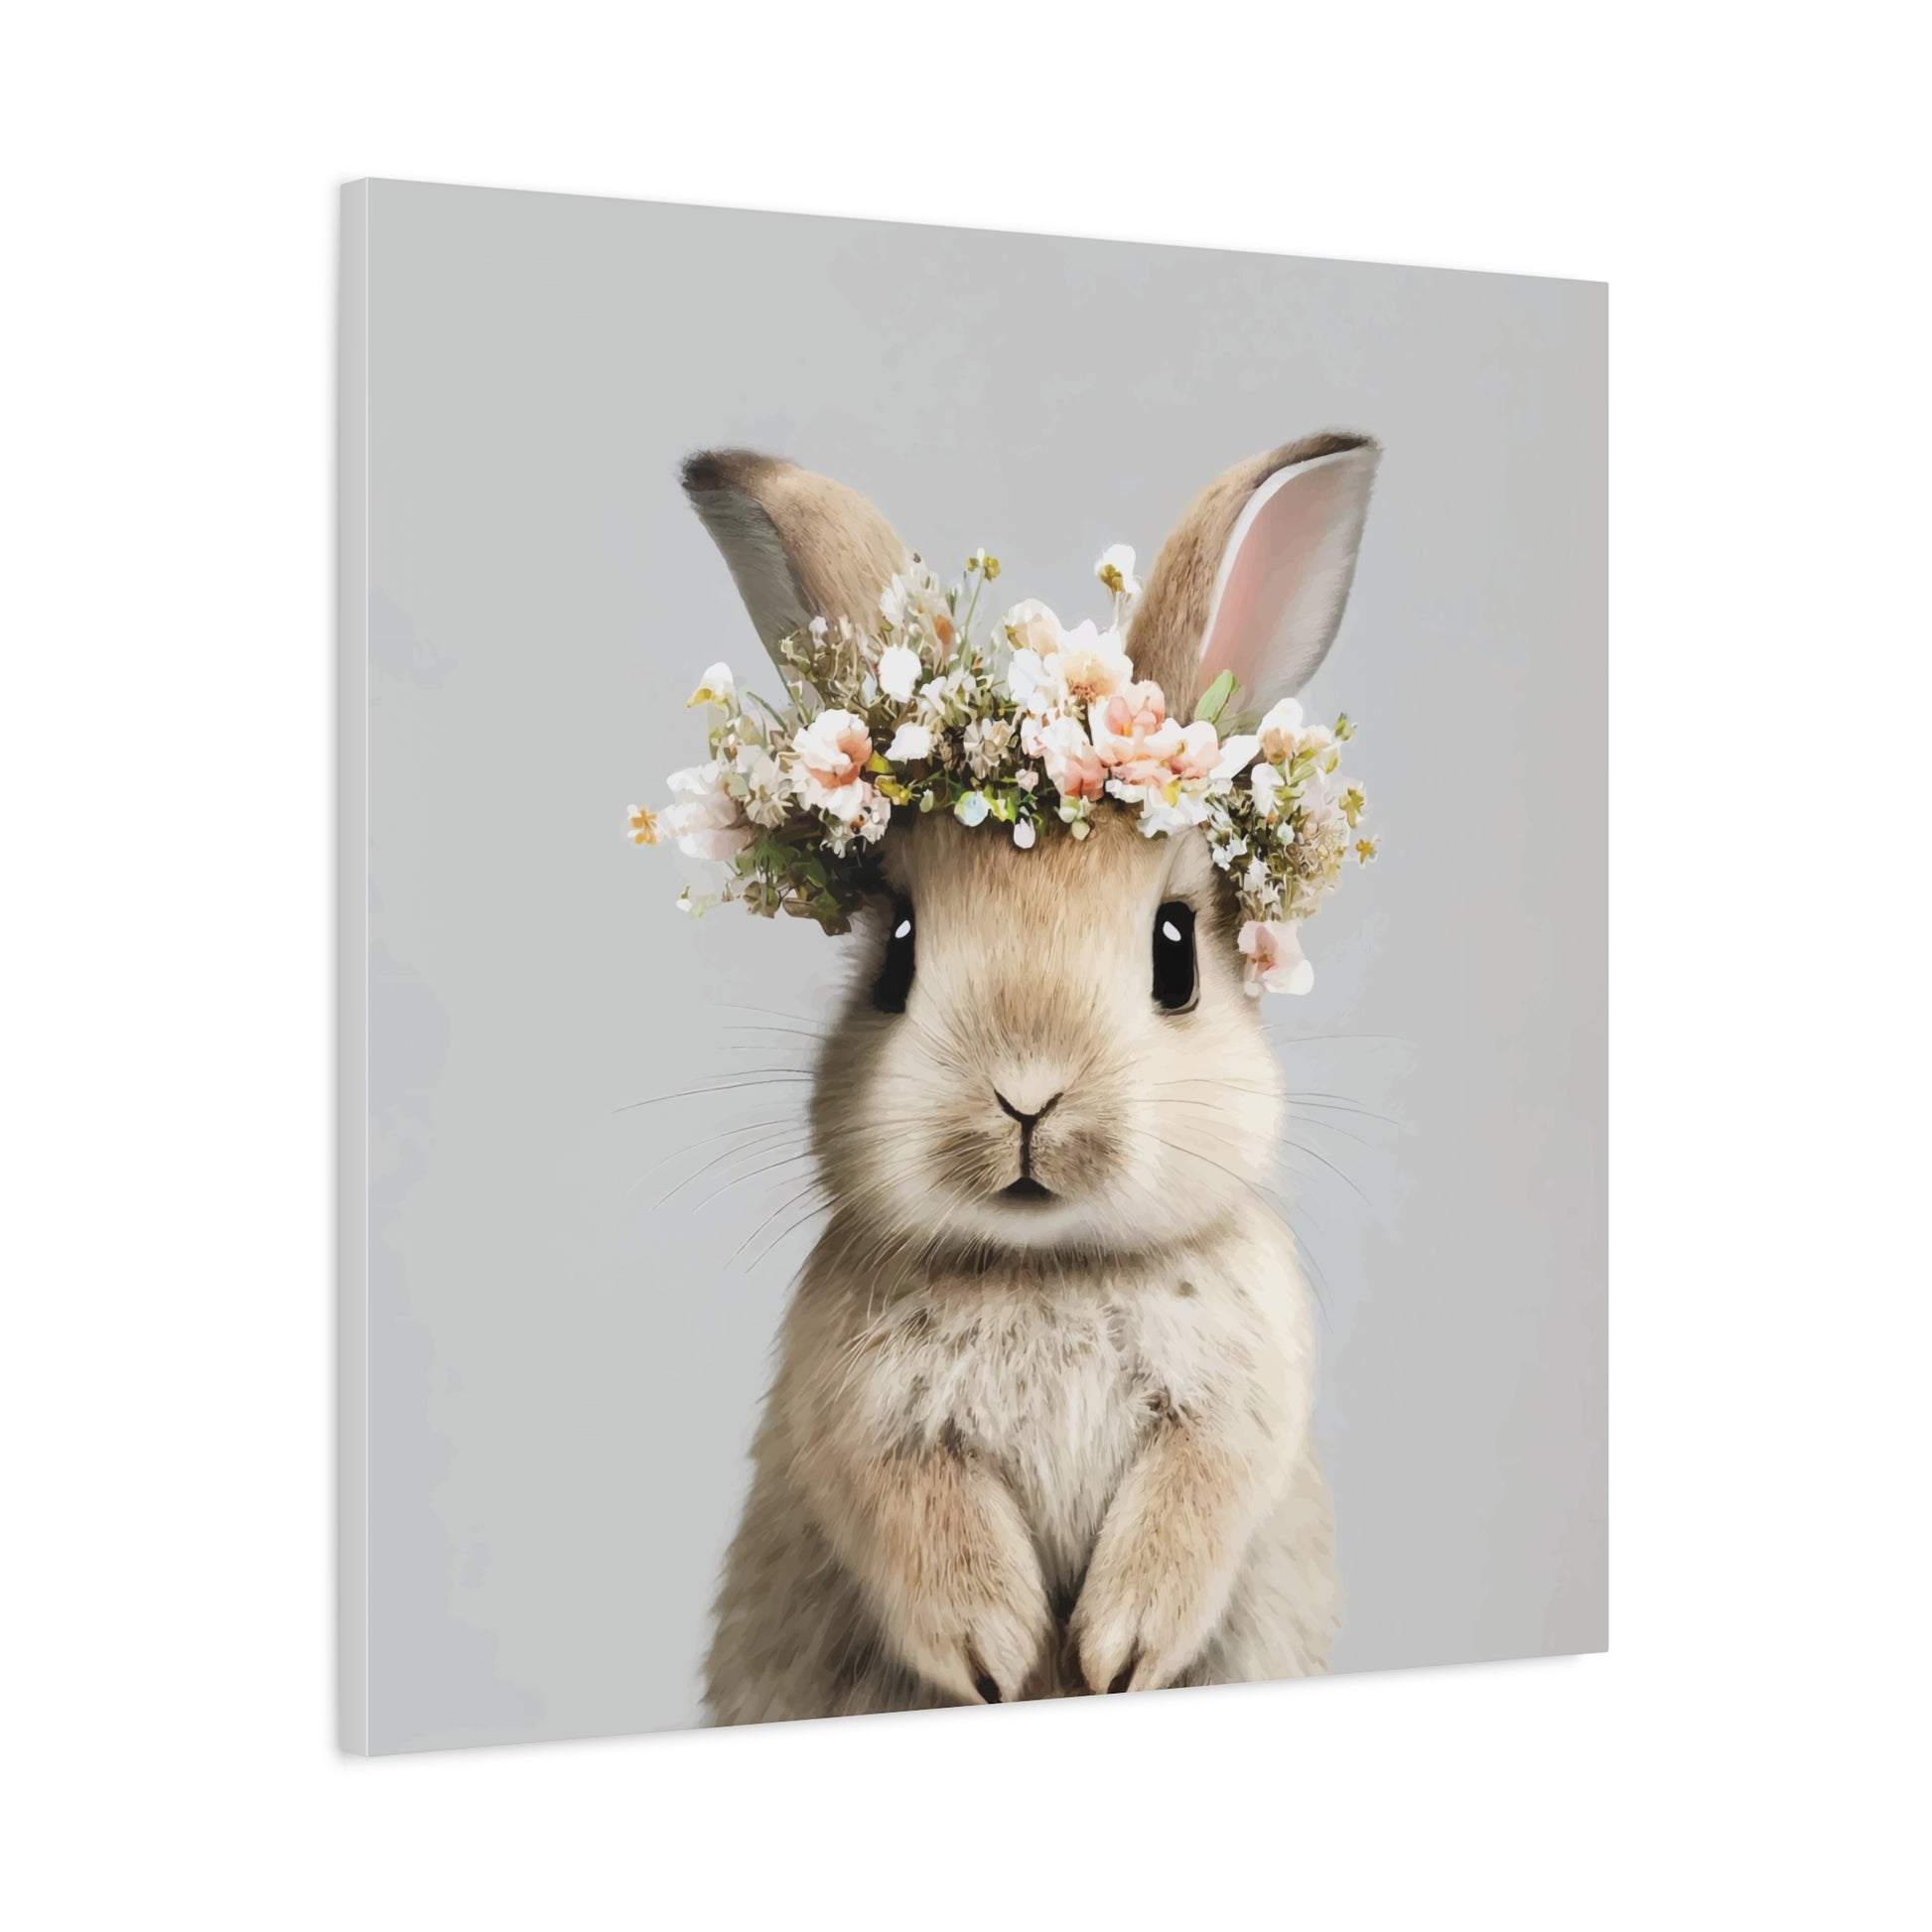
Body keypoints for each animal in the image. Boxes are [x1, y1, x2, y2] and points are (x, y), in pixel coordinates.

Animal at [677, 432, 1381, 1722]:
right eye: (896, 953)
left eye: (1174, 953)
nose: (1025, 1096)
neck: (1044, 1266)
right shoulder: (861, 1425)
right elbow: (915, 1517)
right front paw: (1000, 1657)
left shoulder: (1236, 1405)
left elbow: (1195, 1496)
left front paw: (1114, 1652)